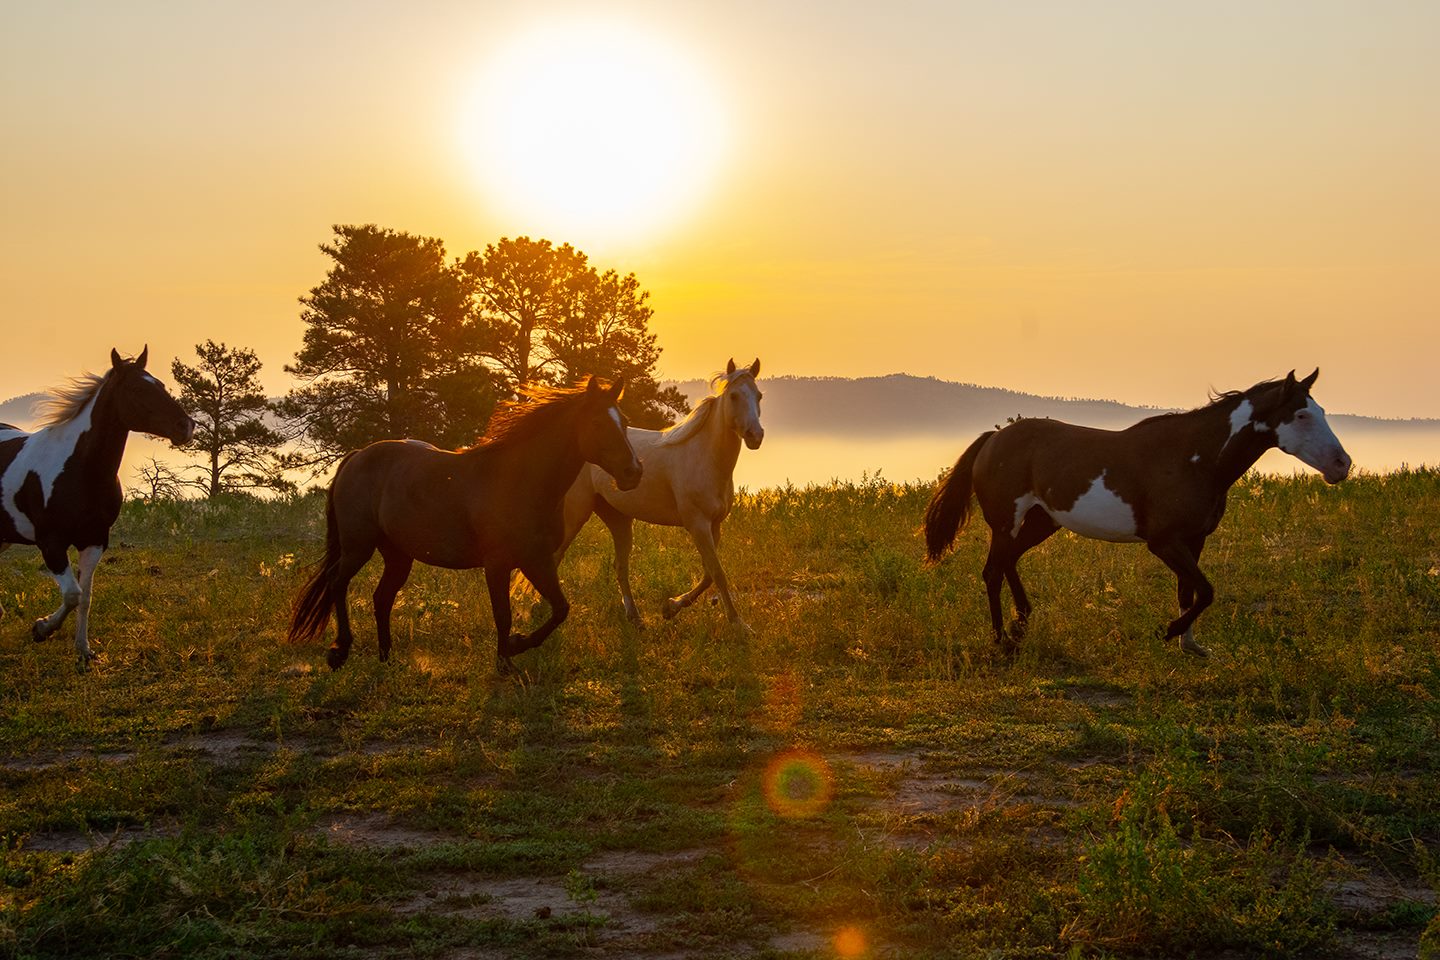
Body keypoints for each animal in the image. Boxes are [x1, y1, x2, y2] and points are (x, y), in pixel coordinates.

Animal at [0, 347, 195, 669]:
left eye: (162, 385)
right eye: (137, 389)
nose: (186, 426)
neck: (80, 467)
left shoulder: (94, 541)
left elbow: (86, 597)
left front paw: (83, 649)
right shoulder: (51, 544)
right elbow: (72, 595)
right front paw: (42, 628)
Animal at [287, 376, 642, 670]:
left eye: (624, 422)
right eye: (597, 422)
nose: (633, 472)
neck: (521, 483)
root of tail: (357, 455)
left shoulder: (536, 560)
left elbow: (560, 608)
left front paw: (517, 645)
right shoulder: (498, 563)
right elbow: (503, 614)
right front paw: (506, 660)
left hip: (398, 556)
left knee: (381, 598)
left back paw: (386, 657)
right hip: (357, 546)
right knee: (337, 583)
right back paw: (340, 651)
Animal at [557, 358, 764, 629]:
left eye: (759, 395)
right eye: (734, 395)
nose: (755, 436)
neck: (705, 457)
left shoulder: (714, 525)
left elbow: (709, 574)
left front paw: (671, 607)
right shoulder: (697, 524)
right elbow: (718, 572)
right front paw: (739, 624)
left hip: (618, 519)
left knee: (620, 566)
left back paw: (635, 617)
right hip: (575, 514)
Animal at [923, 369, 1351, 658]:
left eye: (1320, 410)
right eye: (1301, 416)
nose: (1342, 464)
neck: (1194, 459)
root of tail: (993, 438)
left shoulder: (1194, 539)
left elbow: (1190, 591)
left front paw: (1190, 645)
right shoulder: (1163, 542)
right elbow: (1206, 591)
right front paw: (1170, 632)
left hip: (1042, 522)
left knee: (1008, 562)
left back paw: (1021, 623)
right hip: (1006, 522)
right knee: (992, 571)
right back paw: (1001, 639)